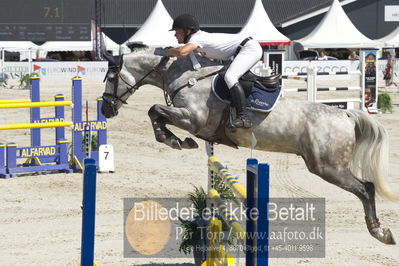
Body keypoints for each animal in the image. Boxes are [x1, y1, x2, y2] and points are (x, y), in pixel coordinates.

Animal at [101, 45, 398, 243]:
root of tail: (346, 115)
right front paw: (177, 140)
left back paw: (379, 231)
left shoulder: (193, 119)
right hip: (328, 166)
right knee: (365, 188)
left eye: (111, 77)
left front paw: (175, 140)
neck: (183, 76)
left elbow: (154, 110)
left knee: (366, 188)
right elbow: (156, 113)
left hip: (328, 167)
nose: (105, 109)